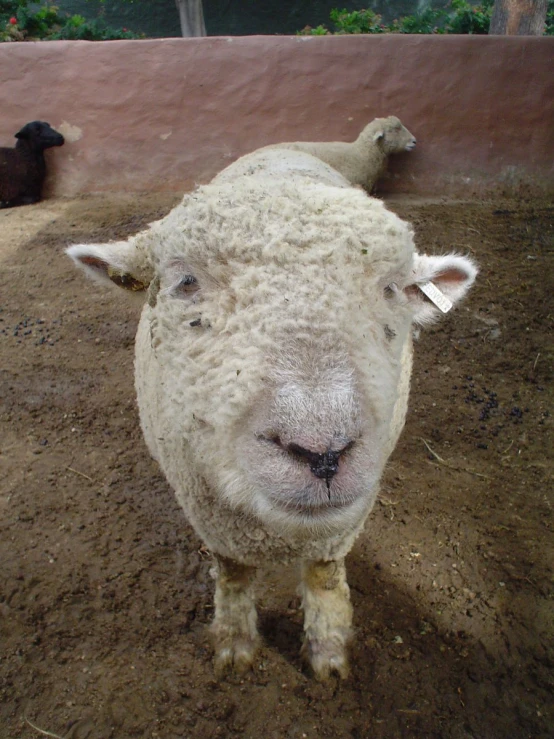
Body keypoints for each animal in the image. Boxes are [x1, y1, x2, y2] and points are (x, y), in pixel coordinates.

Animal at [68, 145, 474, 684]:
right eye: (185, 282)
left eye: (392, 289)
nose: (323, 454)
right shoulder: (209, 512)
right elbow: (234, 572)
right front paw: (235, 642)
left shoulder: (341, 525)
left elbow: (324, 576)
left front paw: (328, 651)